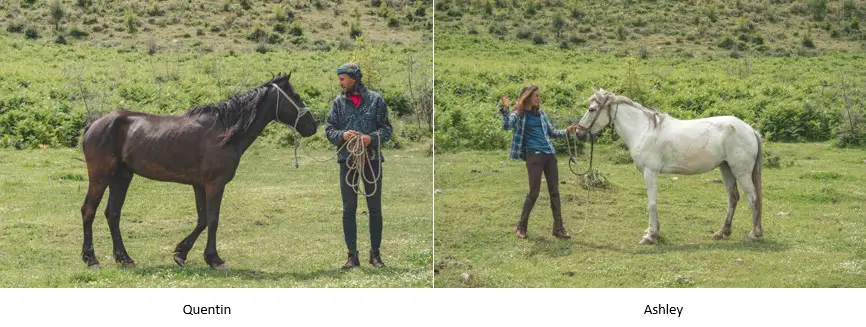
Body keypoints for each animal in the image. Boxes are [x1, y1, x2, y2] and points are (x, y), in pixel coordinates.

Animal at [80, 73, 318, 270]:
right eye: (295, 96)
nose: (312, 126)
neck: (224, 132)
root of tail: (94, 124)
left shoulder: (199, 185)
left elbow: (202, 220)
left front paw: (181, 253)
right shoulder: (215, 185)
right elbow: (213, 219)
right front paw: (214, 259)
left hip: (121, 177)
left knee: (113, 214)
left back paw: (124, 258)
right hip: (101, 176)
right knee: (89, 211)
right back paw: (91, 259)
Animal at [576, 88, 760, 245]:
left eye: (592, 109)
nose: (579, 133)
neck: (644, 130)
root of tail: (750, 130)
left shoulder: (650, 173)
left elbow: (651, 203)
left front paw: (651, 236)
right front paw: (652, 232)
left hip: (741, 172)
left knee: (753, 198)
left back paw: (753, 234)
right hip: (726, 169)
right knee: (733, 198)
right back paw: (722, 232)